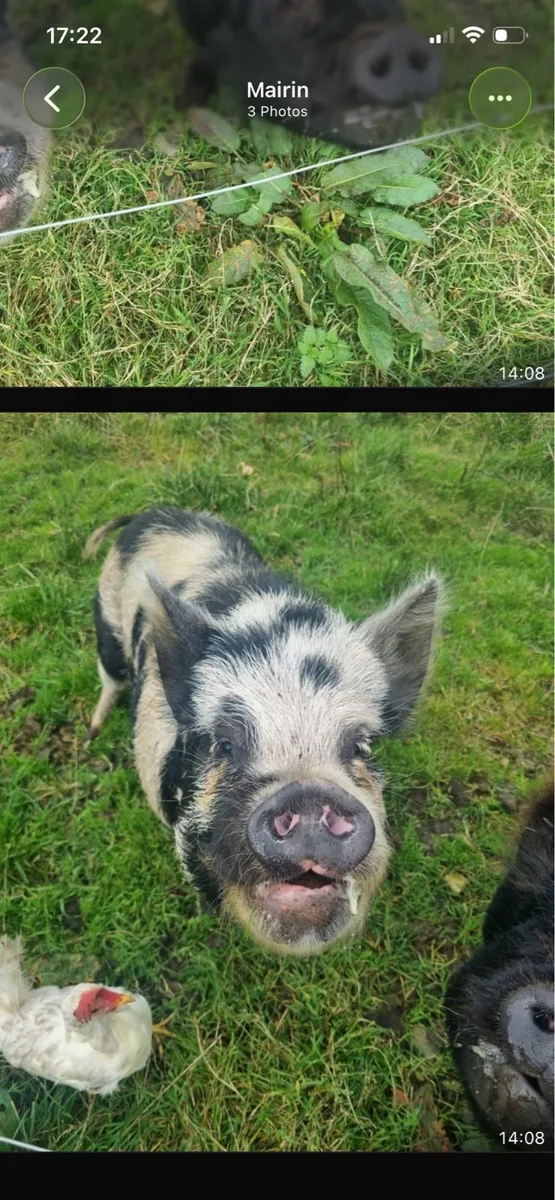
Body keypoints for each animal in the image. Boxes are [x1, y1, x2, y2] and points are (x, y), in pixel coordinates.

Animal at [83, 506, 444, 957]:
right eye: (224, 744)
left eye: (362, 745)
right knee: (109, 675)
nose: (309, 791)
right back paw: (92, 730)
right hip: (106, 623)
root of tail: (152, 511)